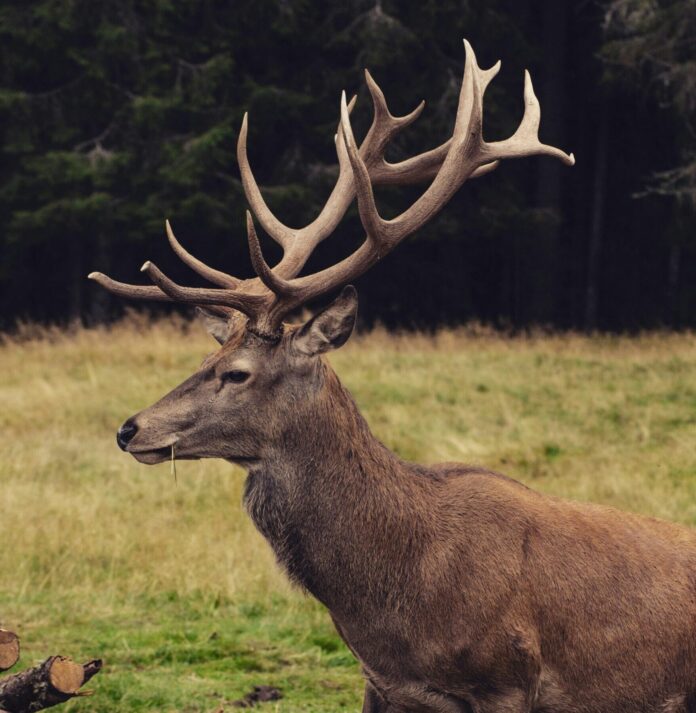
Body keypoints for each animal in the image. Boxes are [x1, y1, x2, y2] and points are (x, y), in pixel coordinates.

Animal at [89, 40, 696, 713]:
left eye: (237, 373)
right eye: (202, 362)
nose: (129, 428)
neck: (398, 596)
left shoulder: (508, 678)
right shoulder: (382, 683)